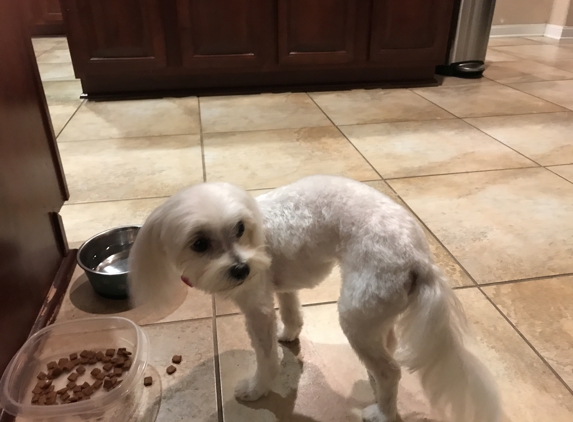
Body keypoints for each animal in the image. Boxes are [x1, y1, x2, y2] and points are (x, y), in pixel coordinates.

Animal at [127, 175, 498, 422]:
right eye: (199, 243)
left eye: (239, 228)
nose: (242, 269)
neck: (255, 236)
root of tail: (418, 258)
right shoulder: (281, 287)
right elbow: (292, 313)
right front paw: (289, 336)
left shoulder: (257, 308)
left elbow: (266, 357)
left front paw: (257, 389)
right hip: (375, 311)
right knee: (387, 348)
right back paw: (375, 387)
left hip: (355, 315)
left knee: (391, 371)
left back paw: (382, 412)